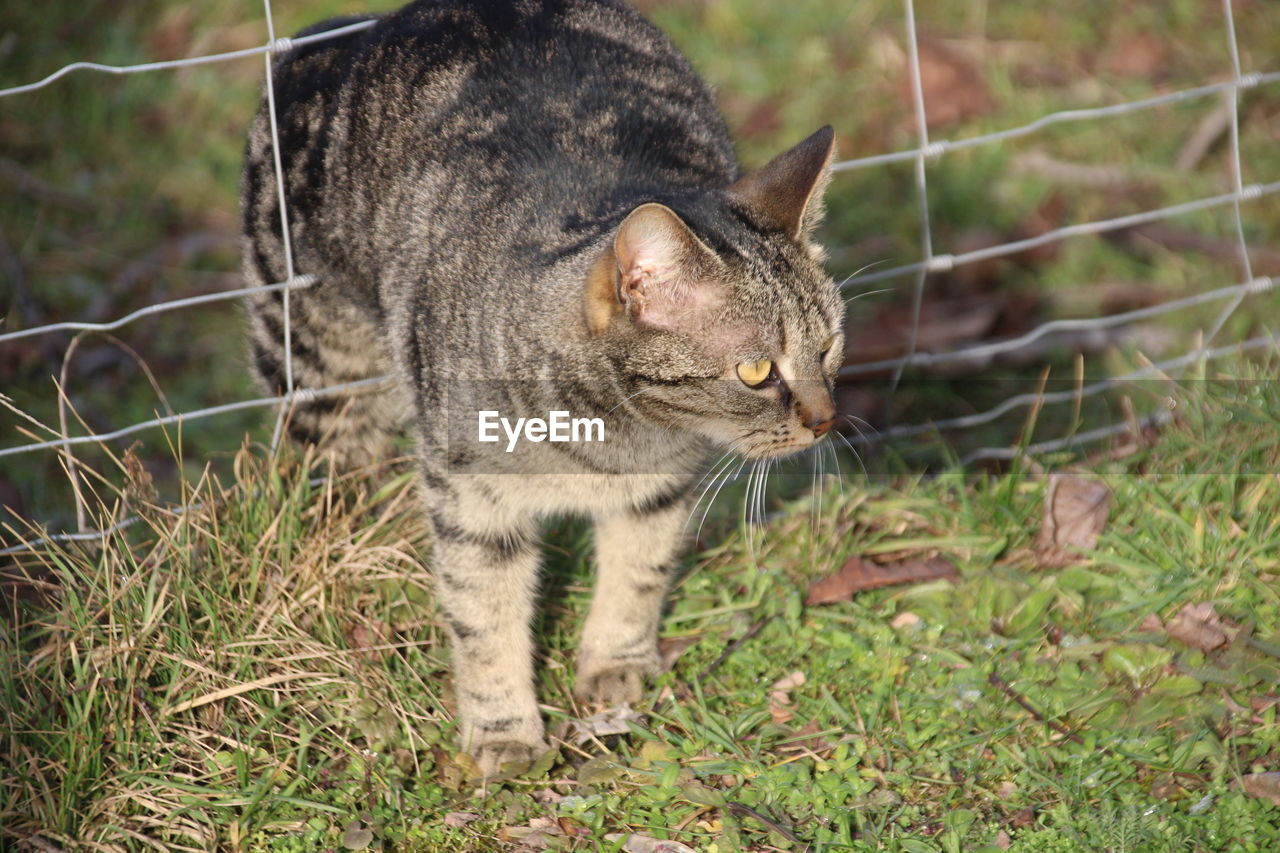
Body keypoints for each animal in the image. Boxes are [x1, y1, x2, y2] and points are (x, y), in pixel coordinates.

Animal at [240, 0, 844, 773]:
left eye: (829, 346)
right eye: (756, 371)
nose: (827, 419)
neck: (611, 440)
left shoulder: (658, 489)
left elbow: (638, 572)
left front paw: (617, 662)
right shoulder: (471, 499)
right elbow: (484, 617)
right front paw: (504, 730)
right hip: (314, 365)